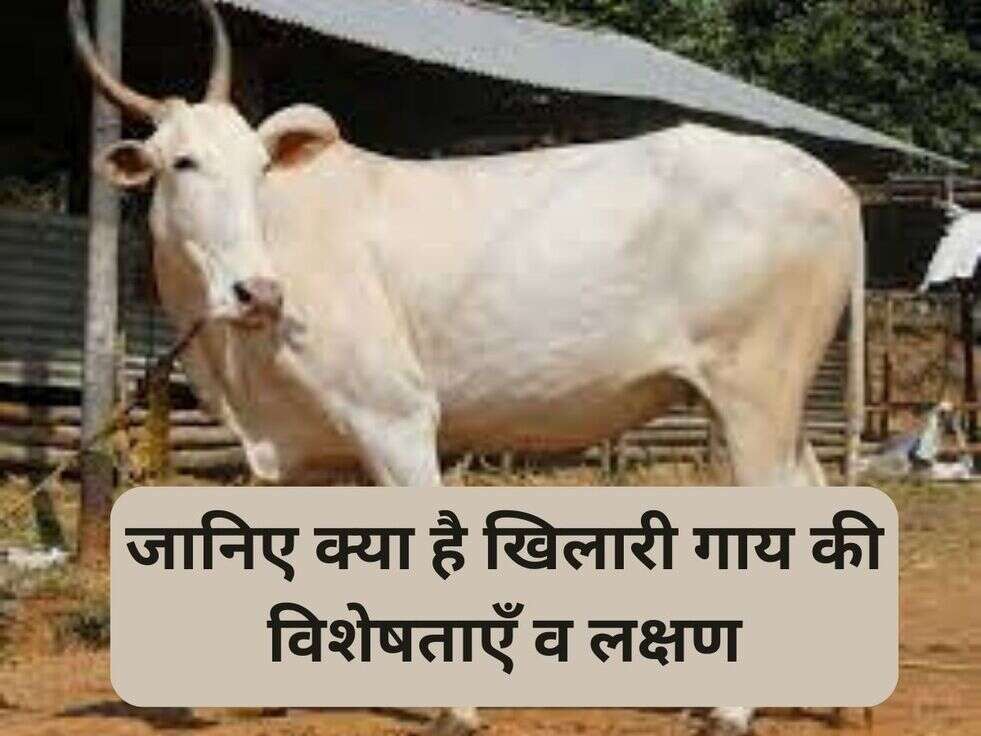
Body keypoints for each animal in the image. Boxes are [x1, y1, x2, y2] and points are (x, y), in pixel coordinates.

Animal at [69, 1, 863, 733]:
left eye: (260, 169)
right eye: (182, 162)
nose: (259, 293)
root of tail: (834, 186)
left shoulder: (394, 415)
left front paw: (457, 707)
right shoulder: (303, 450)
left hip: (753, 390)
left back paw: (734, 708)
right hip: (772, 396)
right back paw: (834, 700)